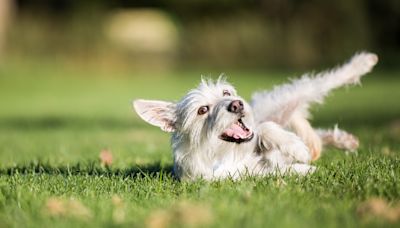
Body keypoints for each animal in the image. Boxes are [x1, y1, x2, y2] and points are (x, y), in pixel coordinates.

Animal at [134, 51, 378, 180]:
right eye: (202, 110)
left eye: (226, 93)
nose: (236, 104)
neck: (224, 153)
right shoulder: (238, 177)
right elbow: (276, 170)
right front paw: (304, 168)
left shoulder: (256, 131)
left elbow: (266, 129)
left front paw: (297, 149)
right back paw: (342, 140)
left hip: (285, 99)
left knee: (323, 82)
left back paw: (362, 63)